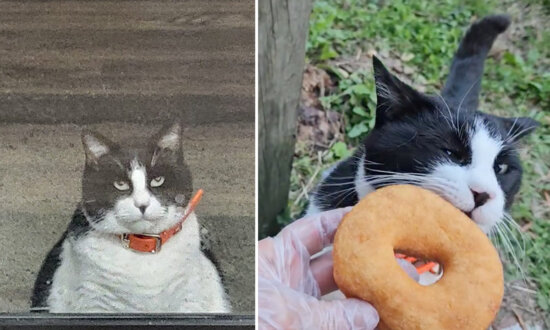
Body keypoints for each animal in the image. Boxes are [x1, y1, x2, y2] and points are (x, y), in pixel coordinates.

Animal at [31, 123, 231, 312]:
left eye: (157, 180)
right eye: (120, 184)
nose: (142, 204)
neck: (143, 248)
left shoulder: (190, 300)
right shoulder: (94, 302)